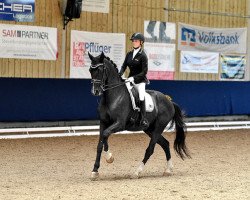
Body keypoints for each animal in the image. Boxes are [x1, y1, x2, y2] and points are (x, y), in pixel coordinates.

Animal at [89, 52, 190, 180]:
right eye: (90, 70)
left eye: (101, 70)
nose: (95, 91)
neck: (112, 96)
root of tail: (169, 101)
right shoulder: (103, 122)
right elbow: (100, 143)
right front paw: (95, 171)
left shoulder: (119, 124)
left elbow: (106, 134)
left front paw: (109, 157)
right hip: (150, 129)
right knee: (165, 144)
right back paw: (168, 170)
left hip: (158, 128)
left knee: (150, 149)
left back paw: (137, 172)